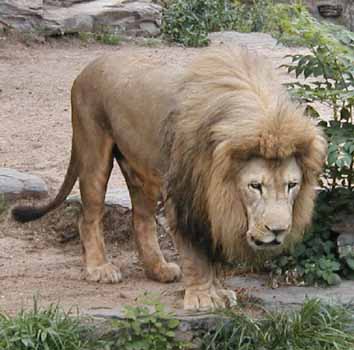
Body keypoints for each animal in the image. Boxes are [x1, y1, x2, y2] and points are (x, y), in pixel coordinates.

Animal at [11, 47, 326, 312]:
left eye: (292, 185)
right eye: (255, 186)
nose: (278, 231)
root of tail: (89, 66)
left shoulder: (210, 204)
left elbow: (211, 251)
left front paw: (219, 291)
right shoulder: (186, 198)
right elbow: (196, 253)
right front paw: (202, 297)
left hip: (142, 170)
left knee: (141, 219)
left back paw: (158, 269)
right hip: (93, 149)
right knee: (88, 216)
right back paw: (100, 268)